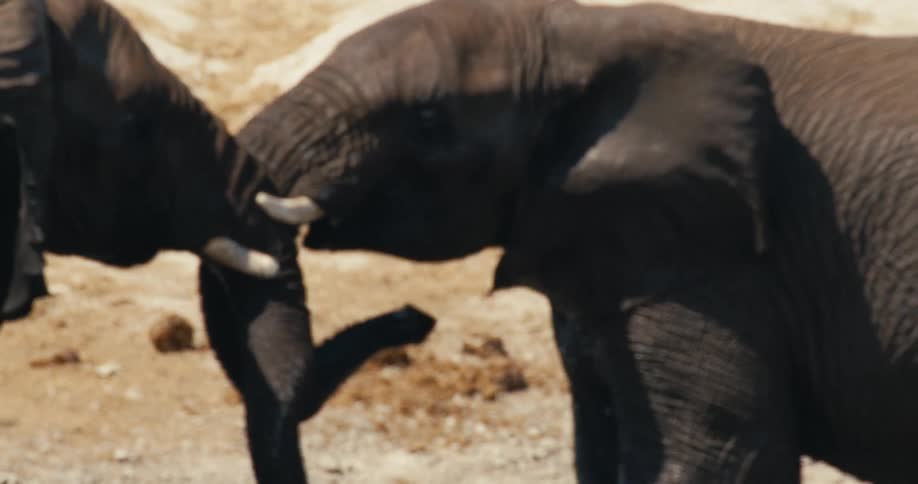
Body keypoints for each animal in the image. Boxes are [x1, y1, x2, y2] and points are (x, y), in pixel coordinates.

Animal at [239, 0, 918, 482]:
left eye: (428, 118)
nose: (416, 318)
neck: (577, 32)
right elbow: (600, 444)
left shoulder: (716, 261)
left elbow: (723, 451)